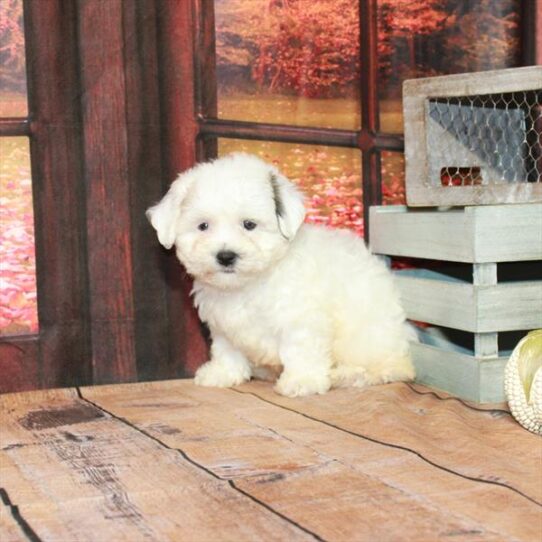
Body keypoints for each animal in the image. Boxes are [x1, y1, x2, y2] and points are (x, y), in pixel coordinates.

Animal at [147, 154, 414, 400]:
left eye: (249, 224)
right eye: (203, 226)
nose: (225, 256)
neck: (249, 284)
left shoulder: (301, 319)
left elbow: (300, 349)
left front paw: (302, 381)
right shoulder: (224, 325)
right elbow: (226, 349)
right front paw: (223, 373)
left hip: (368, 337)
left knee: (387, 368)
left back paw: (346, 374)